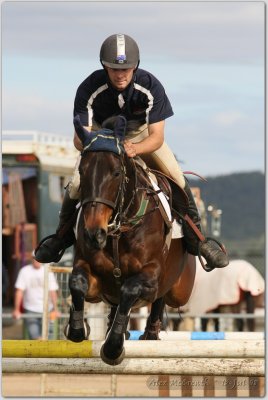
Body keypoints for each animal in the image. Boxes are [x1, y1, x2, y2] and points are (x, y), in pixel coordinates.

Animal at [63, 115, 196, 366]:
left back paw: (148, 332)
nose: (94, 233)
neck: (118, 230)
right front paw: (75, 330)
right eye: (82, 172)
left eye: (116, 173)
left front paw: (113, 348)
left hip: (180, 290)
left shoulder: (151, 275)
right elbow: (77, 282)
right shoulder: (91, 274)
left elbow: (130, 289)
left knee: (161, 301)